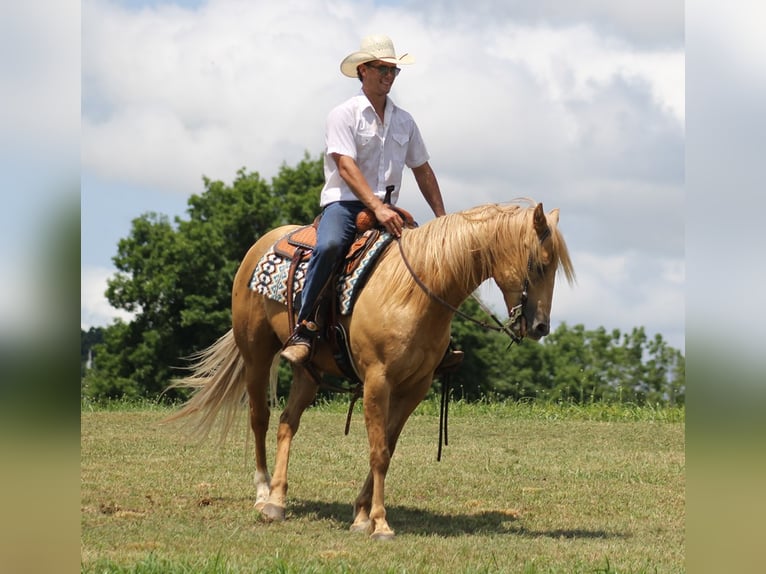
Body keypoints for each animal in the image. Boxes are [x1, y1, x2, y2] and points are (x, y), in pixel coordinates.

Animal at [168, 200, 576, 544]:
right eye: (538, 264)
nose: (540, 326)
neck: (415, 291)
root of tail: (264, 243)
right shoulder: (377, 381)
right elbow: (378, 451)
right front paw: (379, 523)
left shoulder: (414, 388)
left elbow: (388, 448)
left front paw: (361, 515)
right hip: (256, 354)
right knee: (260, 419)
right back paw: (263, 492)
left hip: (308, 371)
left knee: (287, 423)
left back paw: (279, 500)